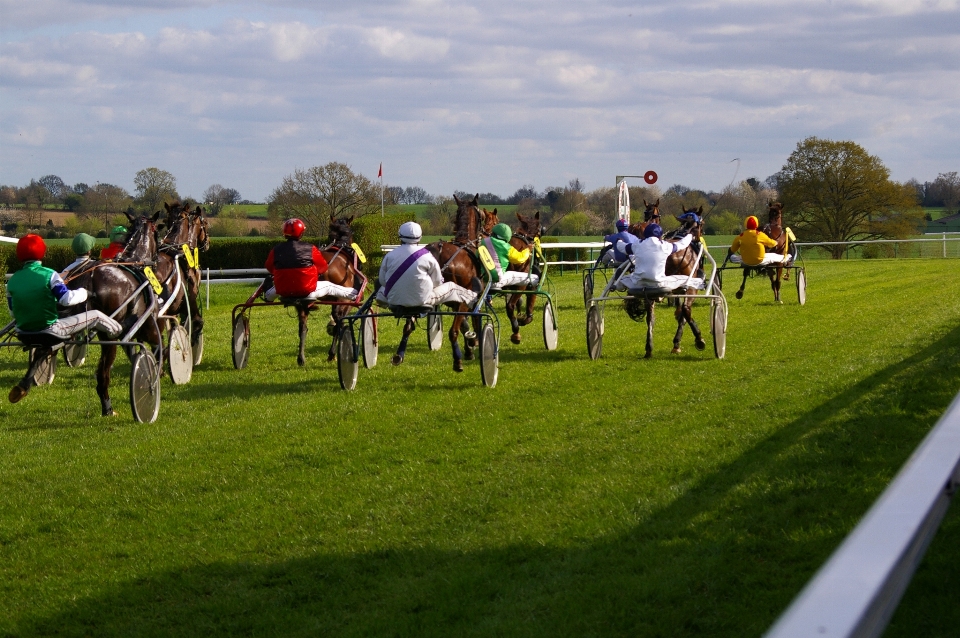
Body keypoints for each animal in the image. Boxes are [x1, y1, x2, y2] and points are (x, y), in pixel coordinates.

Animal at [69, 212, 164, 418]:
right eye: (157, 233)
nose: (157, 258)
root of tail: (90, 278)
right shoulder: (149, 326)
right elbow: (157, 347)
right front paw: (155, 377)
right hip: (109, 335)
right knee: (103, 373)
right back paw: (108, 407)